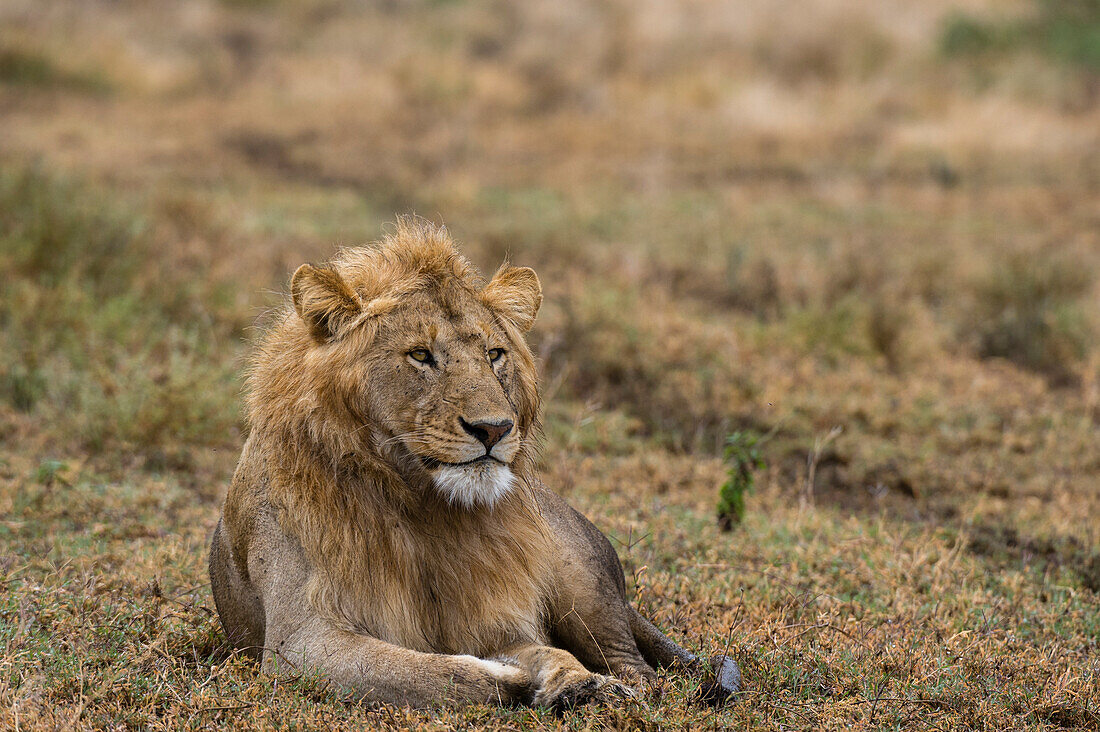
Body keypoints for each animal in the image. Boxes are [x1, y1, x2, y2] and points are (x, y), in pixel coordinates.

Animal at [206, 216, 739, 708]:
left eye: (494, 354)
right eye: (421, 355)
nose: (494, 429)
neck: (422, 506)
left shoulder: (493, 615)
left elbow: (545, 652)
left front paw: (574, 682)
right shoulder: (298, 641)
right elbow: (431, 672)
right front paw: (515, 680)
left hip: (582, 582)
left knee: (635, 666)